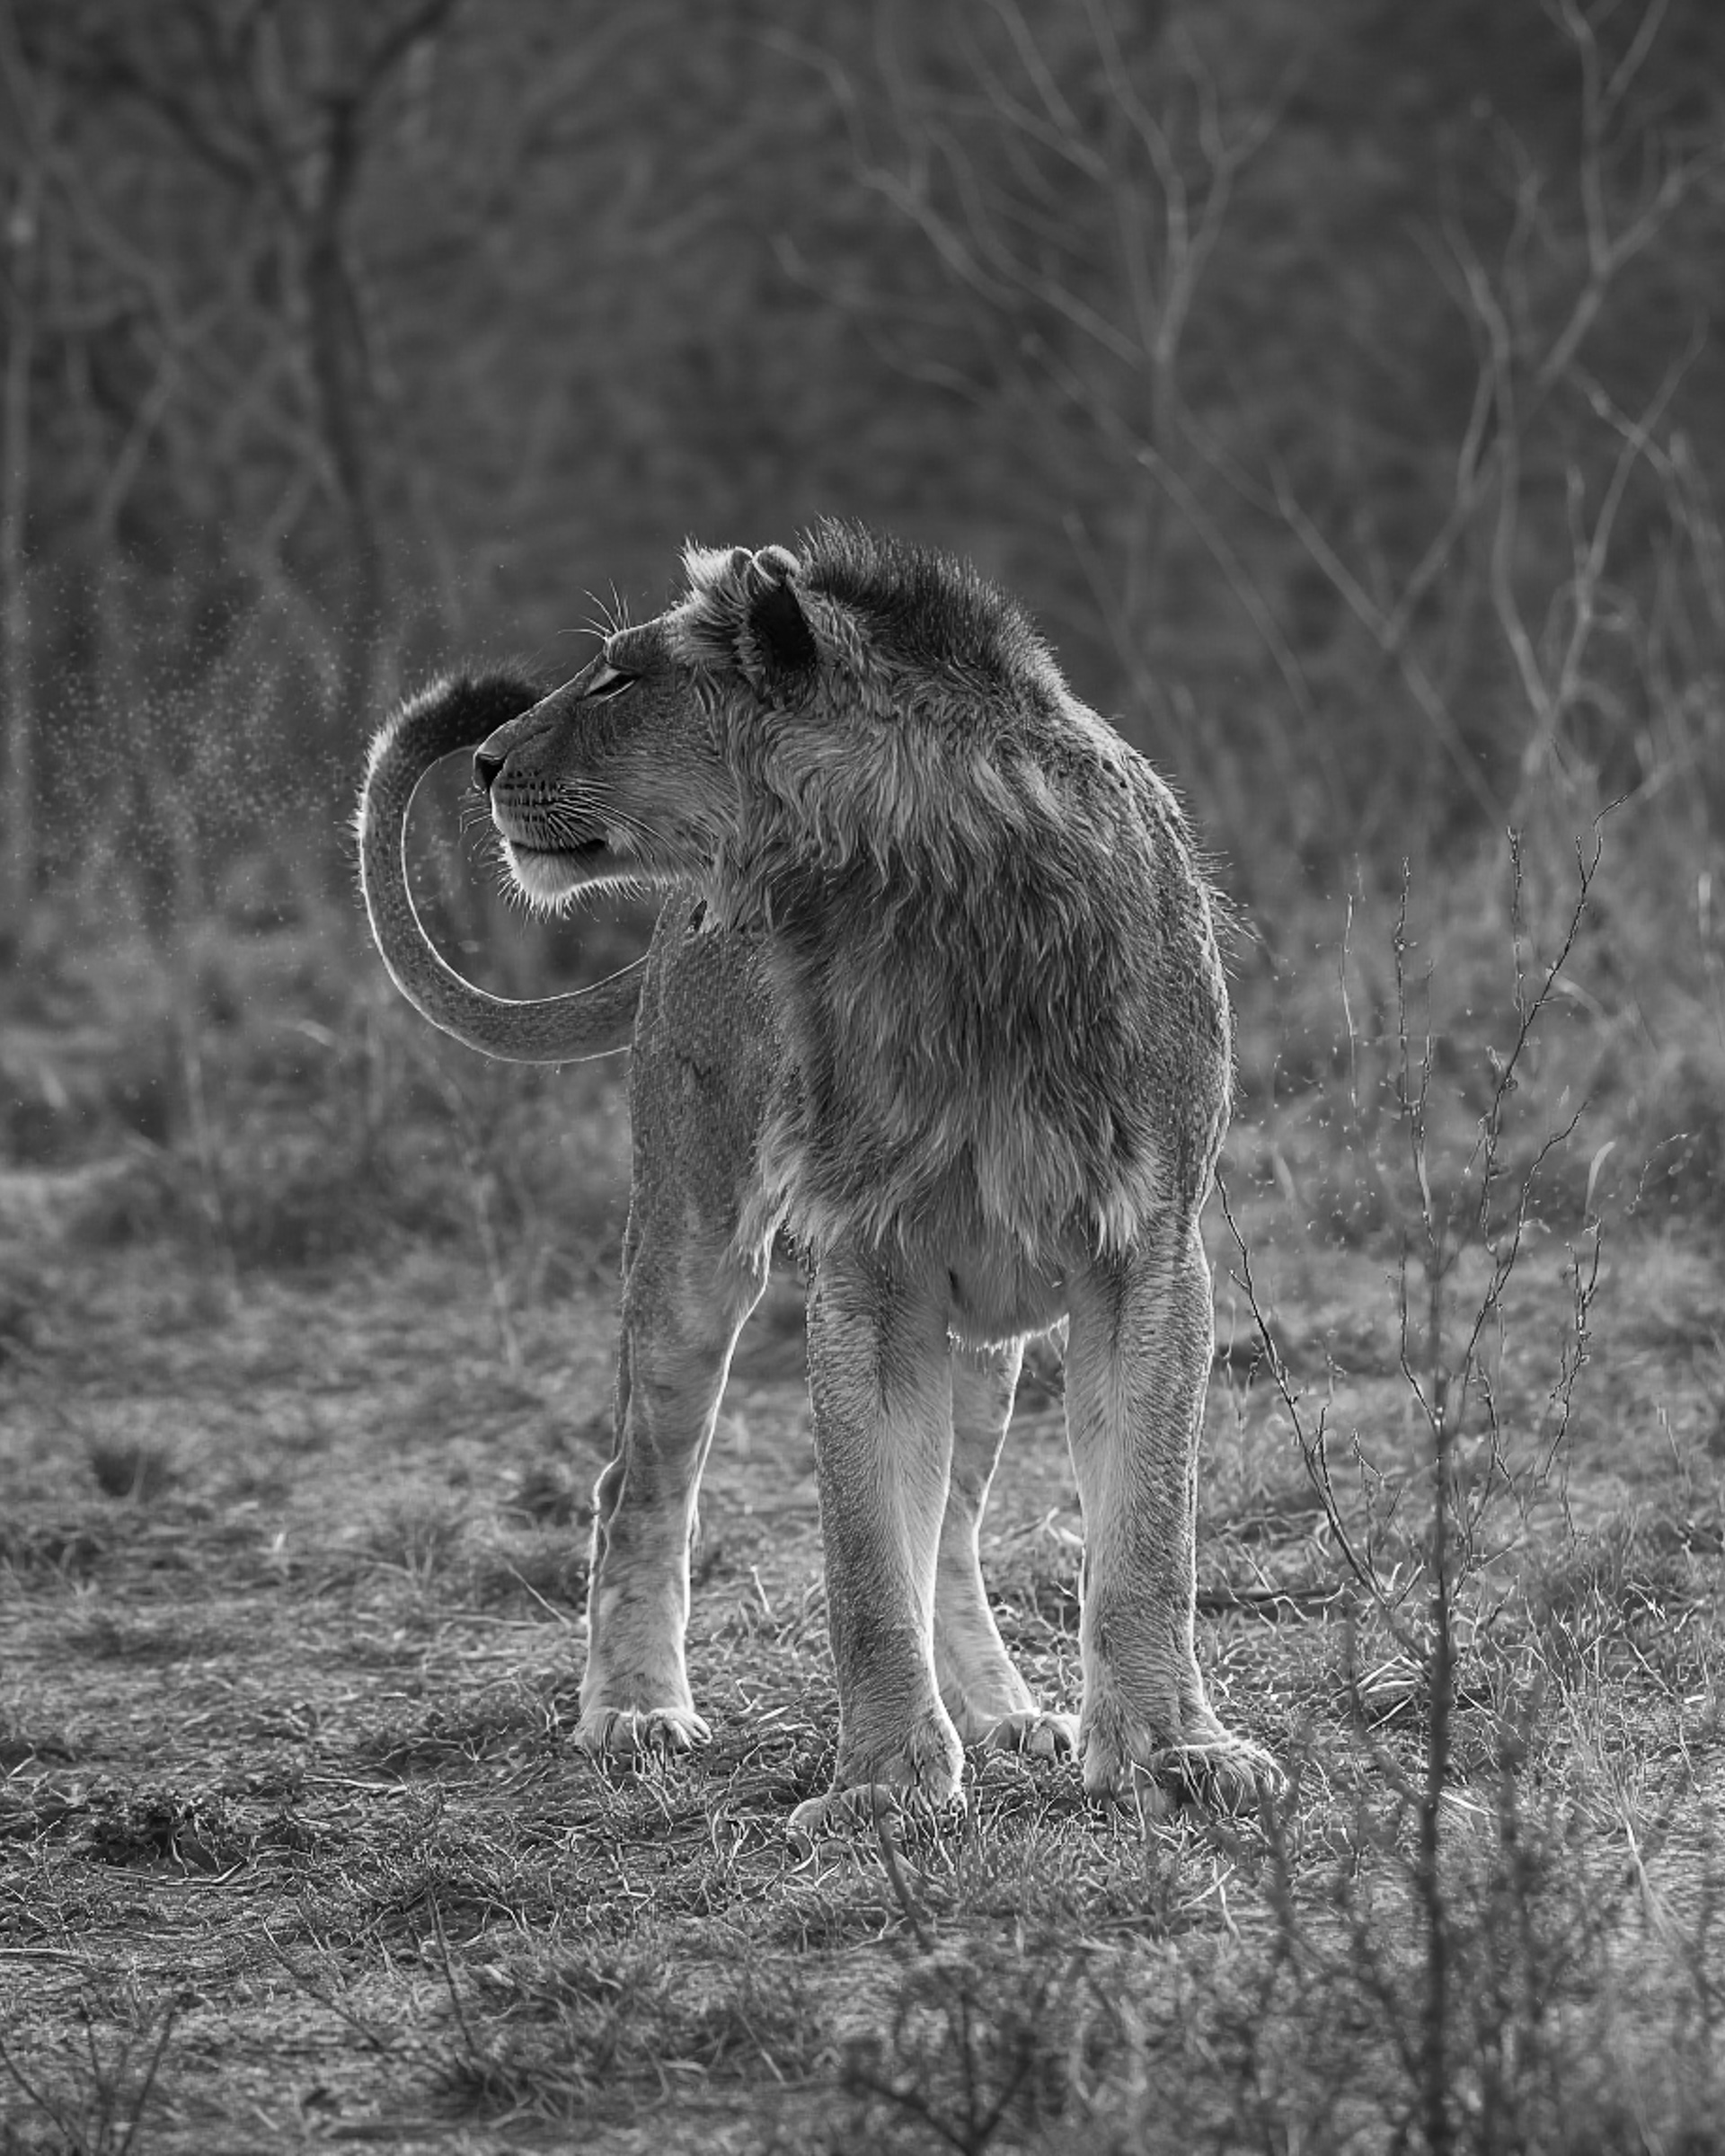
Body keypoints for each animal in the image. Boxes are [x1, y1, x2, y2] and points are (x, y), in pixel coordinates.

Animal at [357, 522, 1282, 1833]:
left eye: (620, 680)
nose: (485, 761)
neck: (926, 914)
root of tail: (664, 937)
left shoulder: (1146, 1252)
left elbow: (1148, 1537)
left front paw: (1173, 1752)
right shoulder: (870, 1270)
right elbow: (863, 1561)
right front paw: (885, 1784)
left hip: (986, 1337)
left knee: (954, 1530)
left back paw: (1006, 1715)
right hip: (688, 1246)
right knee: (636, 1484)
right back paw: (634, 1712)